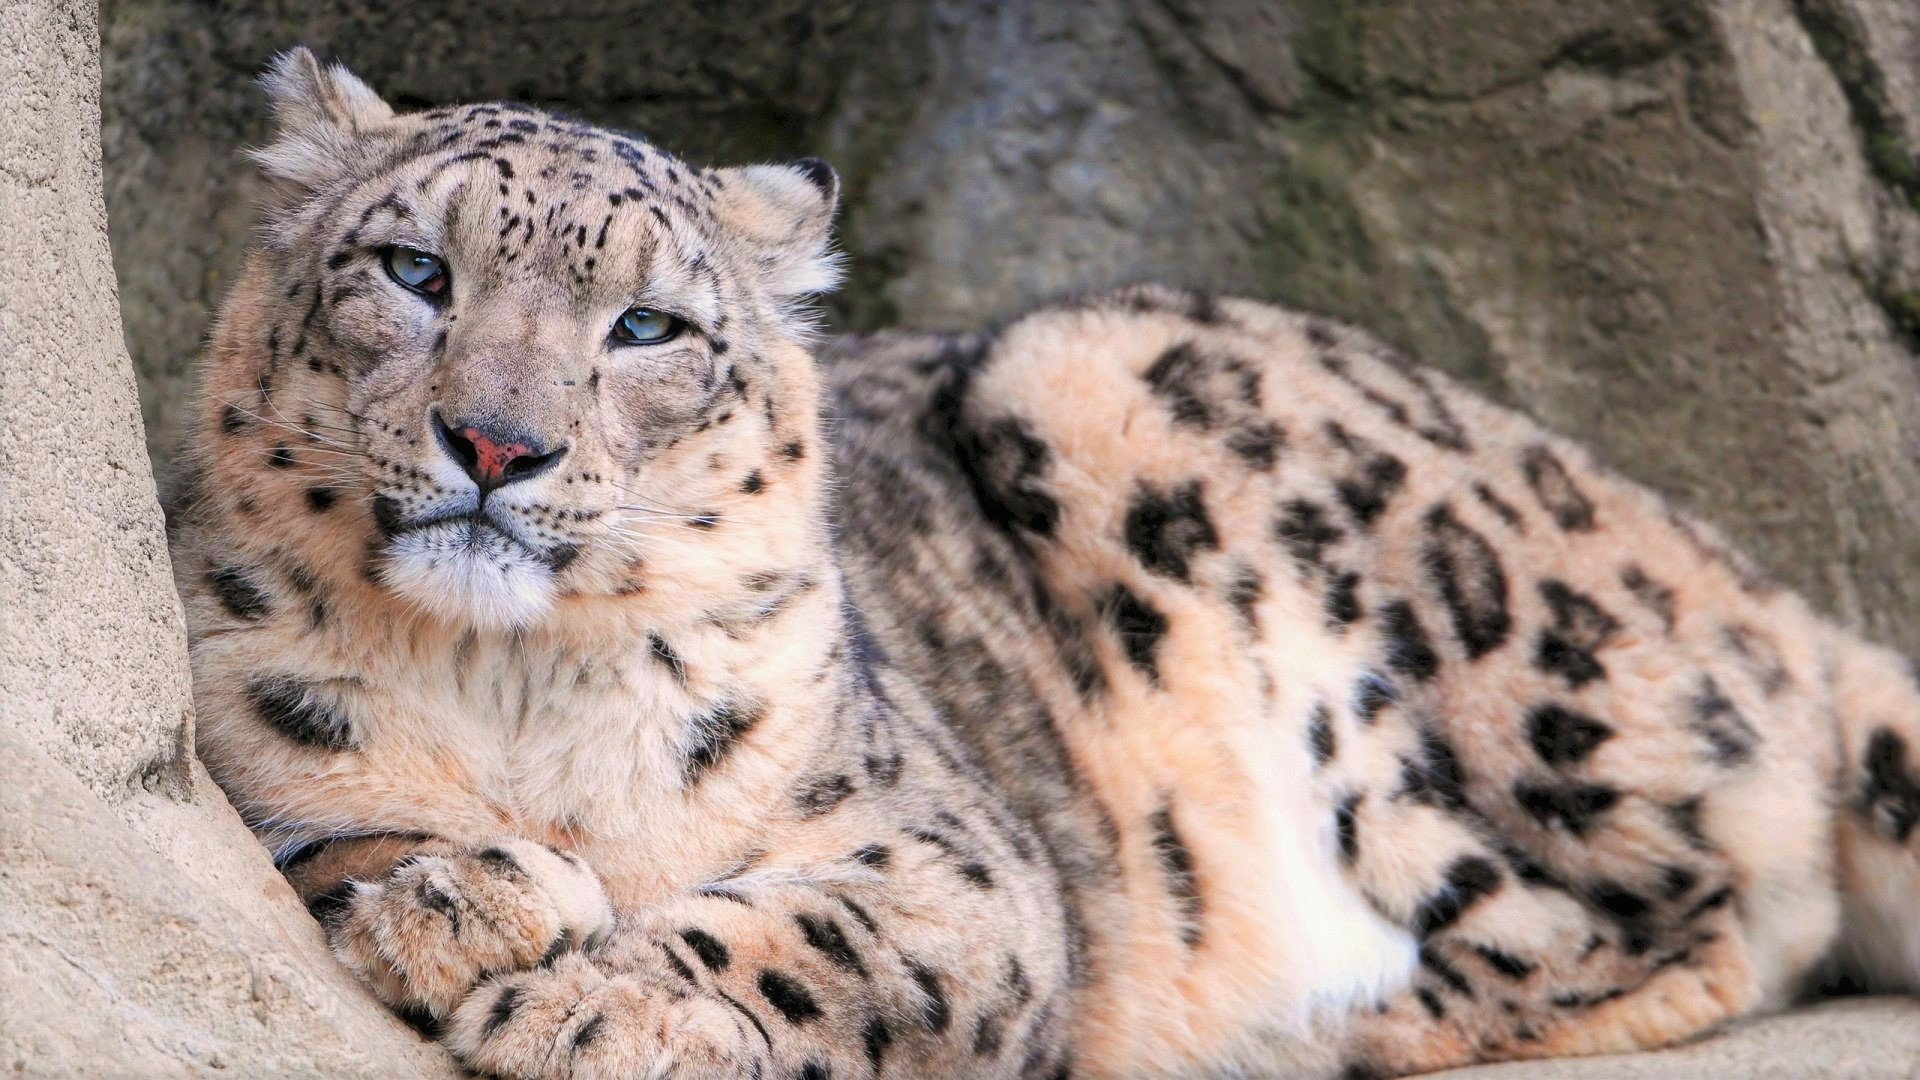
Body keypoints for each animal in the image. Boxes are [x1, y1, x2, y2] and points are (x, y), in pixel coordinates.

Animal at [167, 48, 1920, 1078]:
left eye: (648, 326)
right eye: (415, 271)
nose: (498, 444)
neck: (512, 683)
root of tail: (1748, 582)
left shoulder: (957, 858)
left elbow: (823, 929)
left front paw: (601, 1003)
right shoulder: (237, 748)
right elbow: (318, 836)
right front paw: (465, 900)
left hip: (1155, 416)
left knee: (1687, 913)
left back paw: (1343, 1021)